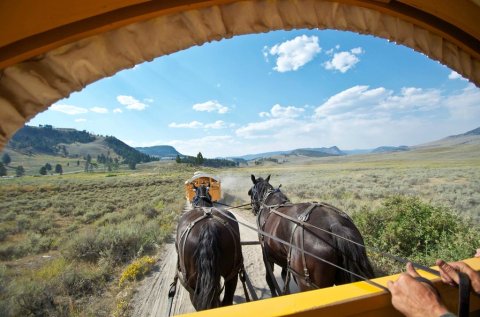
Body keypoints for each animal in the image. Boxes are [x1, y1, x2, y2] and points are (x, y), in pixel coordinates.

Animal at [248, 174, 376, 296]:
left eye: (250, 192)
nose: (253, 209)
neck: (270, 204)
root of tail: (335, 225)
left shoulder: (266, 255)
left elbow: (270, 280)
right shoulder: (283, 257)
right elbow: (285, 278)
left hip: (306, 283)